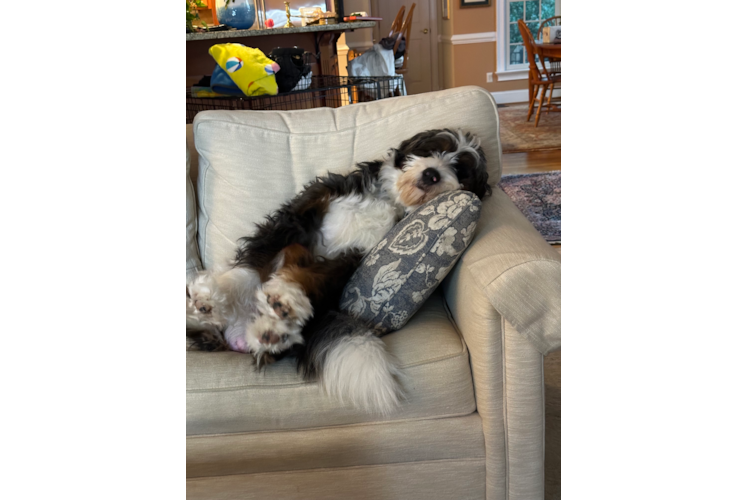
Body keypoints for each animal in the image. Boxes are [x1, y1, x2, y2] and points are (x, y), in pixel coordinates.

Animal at [186, 128, 490, 414]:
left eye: (460, 170)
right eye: (432, 149)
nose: (432, 174)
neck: (388, 200)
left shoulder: (350, 256)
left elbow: (309, 276)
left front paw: (286, 300)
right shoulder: (303, 213)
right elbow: (253, 266)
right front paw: (214, 295)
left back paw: (275, 328)